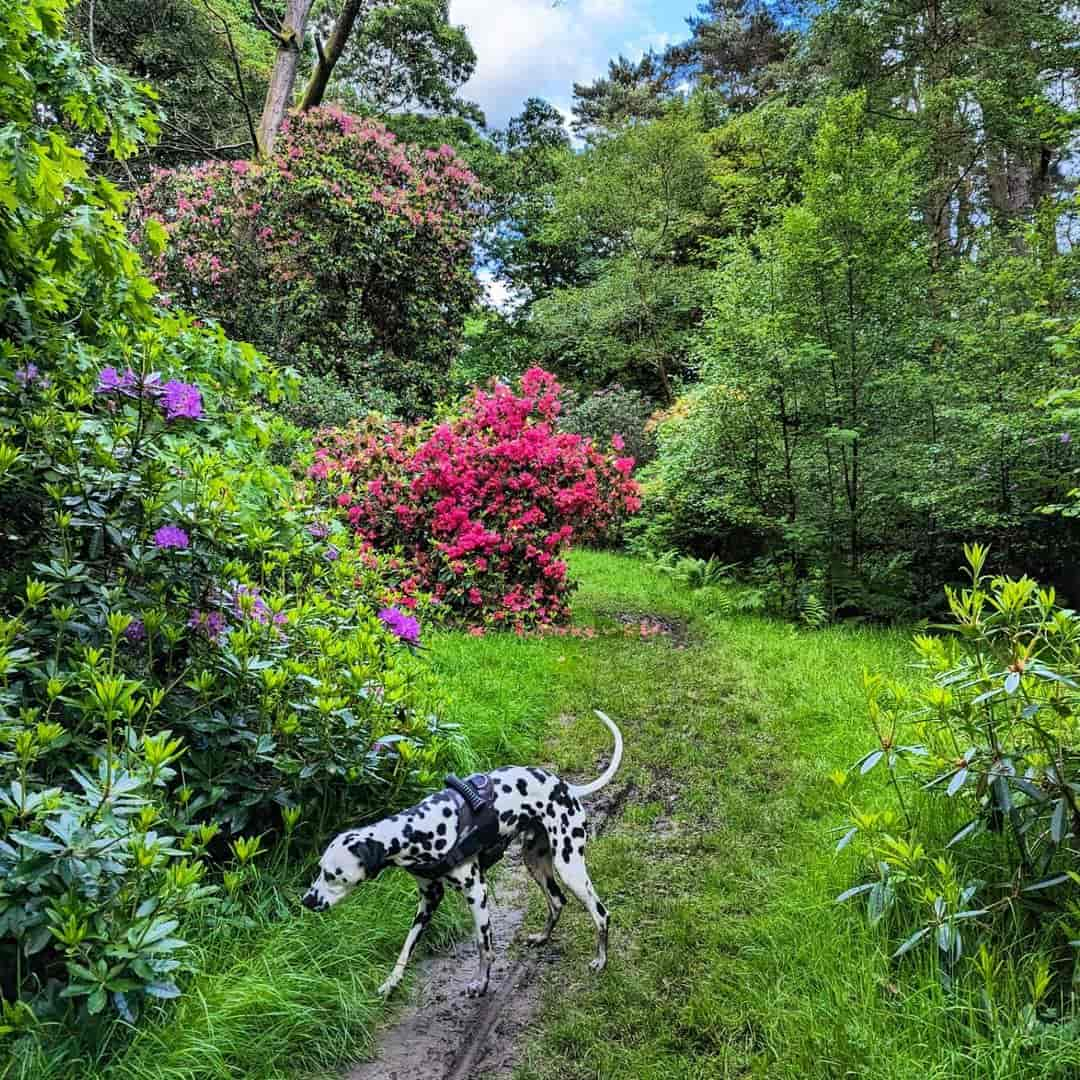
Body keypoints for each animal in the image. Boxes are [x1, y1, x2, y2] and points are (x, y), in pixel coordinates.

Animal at [302, 712, 626, 997]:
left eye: (334, 876)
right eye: (319, 869)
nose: (306, 901)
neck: (418, 830)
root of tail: (566, 787)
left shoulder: (476, 893)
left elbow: (485, 947)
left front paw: (481, 983)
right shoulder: (429, 899)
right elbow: (407, 946)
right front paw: (391, 983)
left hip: (569, 866)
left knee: (601, 914)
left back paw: (601, 960)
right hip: (535, 861)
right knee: (557, 901)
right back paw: (543, 937)